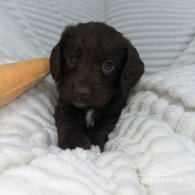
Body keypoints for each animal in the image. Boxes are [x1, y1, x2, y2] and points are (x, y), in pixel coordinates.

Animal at [49, 22, 144, 152]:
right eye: (71, 59)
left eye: (108, 65)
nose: (81, 91)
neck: (89, 107)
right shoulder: (65, 102)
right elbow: (67, 120)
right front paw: (74, 142)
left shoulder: (114, 111)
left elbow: (102, 127)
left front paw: (94, 144)